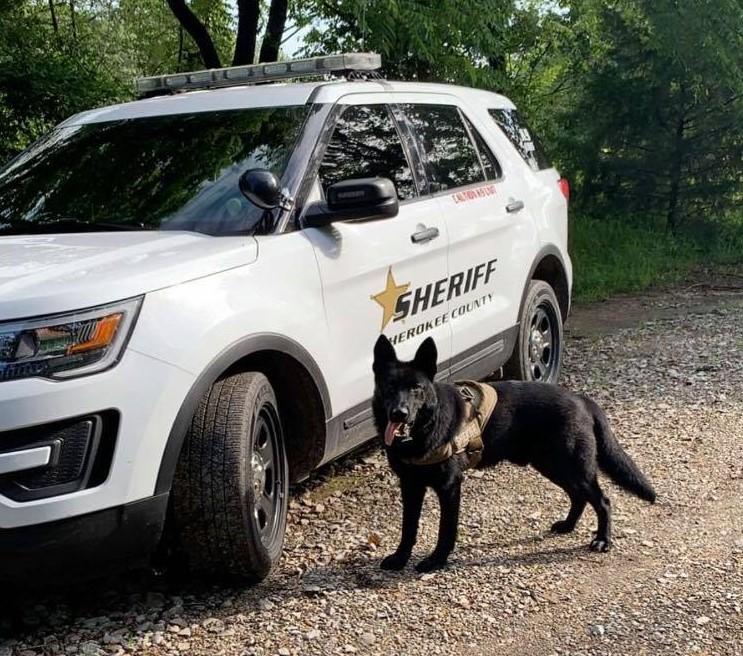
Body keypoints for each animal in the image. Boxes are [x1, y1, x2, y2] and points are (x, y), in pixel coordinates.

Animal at [372, 336, 656, 572]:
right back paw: (568, 526)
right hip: (553, 466)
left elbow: (446, 529)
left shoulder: (449, 487)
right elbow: (408, 527)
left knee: (603, 501)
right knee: (579, 496)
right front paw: (400, 558)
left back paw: (602, 539)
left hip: (570, 466)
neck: (424, 429)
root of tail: (580, 399)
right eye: (390, 386)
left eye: (416, 388)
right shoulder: (410, 485)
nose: (399, 413)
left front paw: (436, 561)